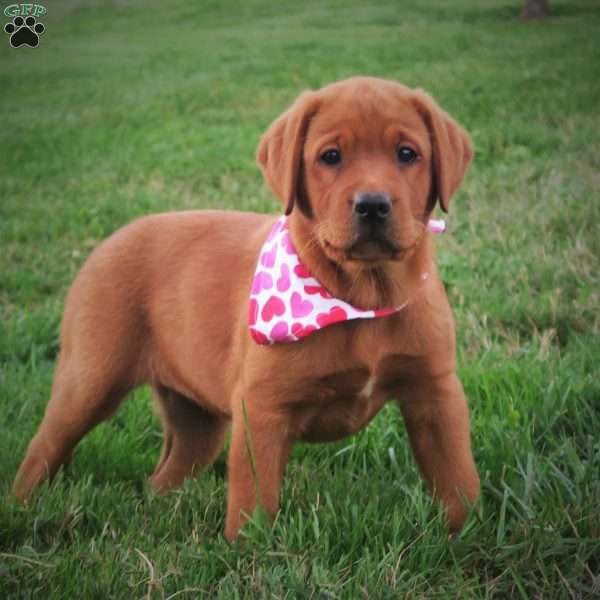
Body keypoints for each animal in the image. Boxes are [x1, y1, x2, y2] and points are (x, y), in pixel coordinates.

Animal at [12, 75, 478, 540]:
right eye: (330, 156)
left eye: (407, 154)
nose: (373, 204)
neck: (363, 298)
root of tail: (109, 240)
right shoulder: (262, 407)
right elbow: (254, 495)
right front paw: (250, 548)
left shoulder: (436, 392)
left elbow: (458, 477)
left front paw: (468, 536)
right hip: (90, 381)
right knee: (43, 449)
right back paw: (21, 511)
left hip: (198, 420)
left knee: (164, 475)